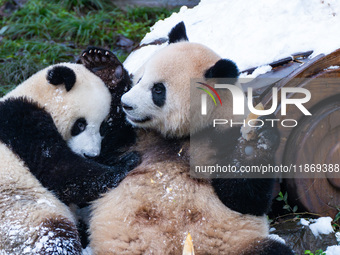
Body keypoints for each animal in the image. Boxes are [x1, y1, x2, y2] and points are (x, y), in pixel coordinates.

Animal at [0, 62, 138, 254]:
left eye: (102, 126)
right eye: (80, 124)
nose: (90, 154)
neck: (36, 97)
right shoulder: (21, 124)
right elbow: (57, 170)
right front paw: (125, 164)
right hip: (21, 216)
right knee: (53, 236)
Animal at [89, 22, 294, 254]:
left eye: (158, 90)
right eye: (140, 79)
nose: (126, 104)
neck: (180, 136)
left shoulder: (223, 136)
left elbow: (245, 199)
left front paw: (255, 143)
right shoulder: (135, 138)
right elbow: (101, 156)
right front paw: (104, 68)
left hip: (237, 245)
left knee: (274, 249)